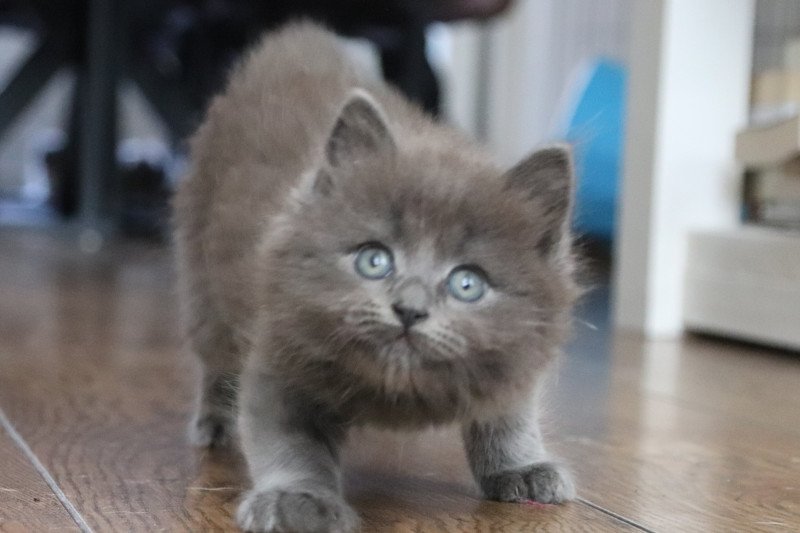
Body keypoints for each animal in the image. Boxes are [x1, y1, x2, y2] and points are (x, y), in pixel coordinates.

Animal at [172, 20, 580, 532]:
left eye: (467, 284)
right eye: (374, 260)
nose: (409, 309)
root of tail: (295, 41)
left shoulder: (521, 350)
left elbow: (509, 414)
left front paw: (522, 467)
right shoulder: (279, 349)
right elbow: (289, 441)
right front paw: (297, 499)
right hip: (200, 279)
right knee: (214, 358)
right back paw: (215, 421)